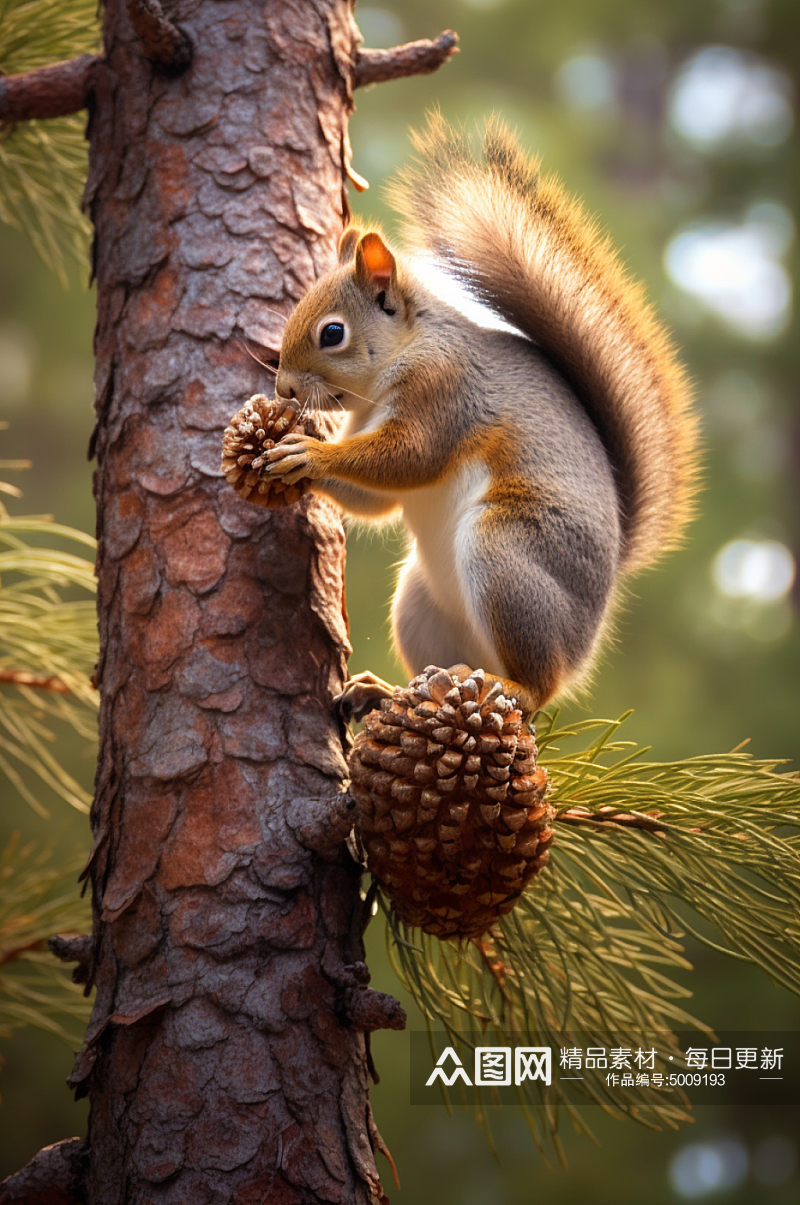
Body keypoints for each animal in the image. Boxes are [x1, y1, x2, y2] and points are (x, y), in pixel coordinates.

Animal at [263, 113, 698, 718]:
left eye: (332, 333)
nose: (282, 387)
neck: (400, 357)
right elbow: (375, 500)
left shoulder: (446, 390)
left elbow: (409, 458)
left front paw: (309, 452)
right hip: (420, 603)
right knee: (443, 672)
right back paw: (390, 693)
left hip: (505, 554)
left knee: (536, 689)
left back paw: (507, 688)